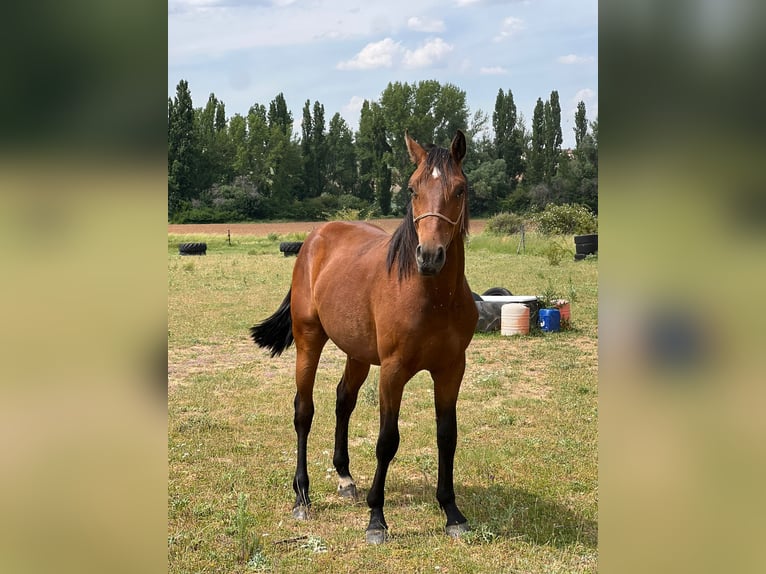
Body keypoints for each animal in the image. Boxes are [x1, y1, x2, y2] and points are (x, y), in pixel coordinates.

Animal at [251, 130, 478, 544]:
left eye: (460, 189)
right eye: (412, 189)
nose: (430, 256)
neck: (432, 296)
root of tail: (315, 238)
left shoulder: (452, 369)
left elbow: (447, 435)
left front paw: (452, 512)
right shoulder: (393, 371)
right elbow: (387, 441)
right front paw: (377, 519)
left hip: (356, 353)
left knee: (344, 400)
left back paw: (344, 477)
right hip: (309, 342)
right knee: (303, 411)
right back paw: (302, 497)